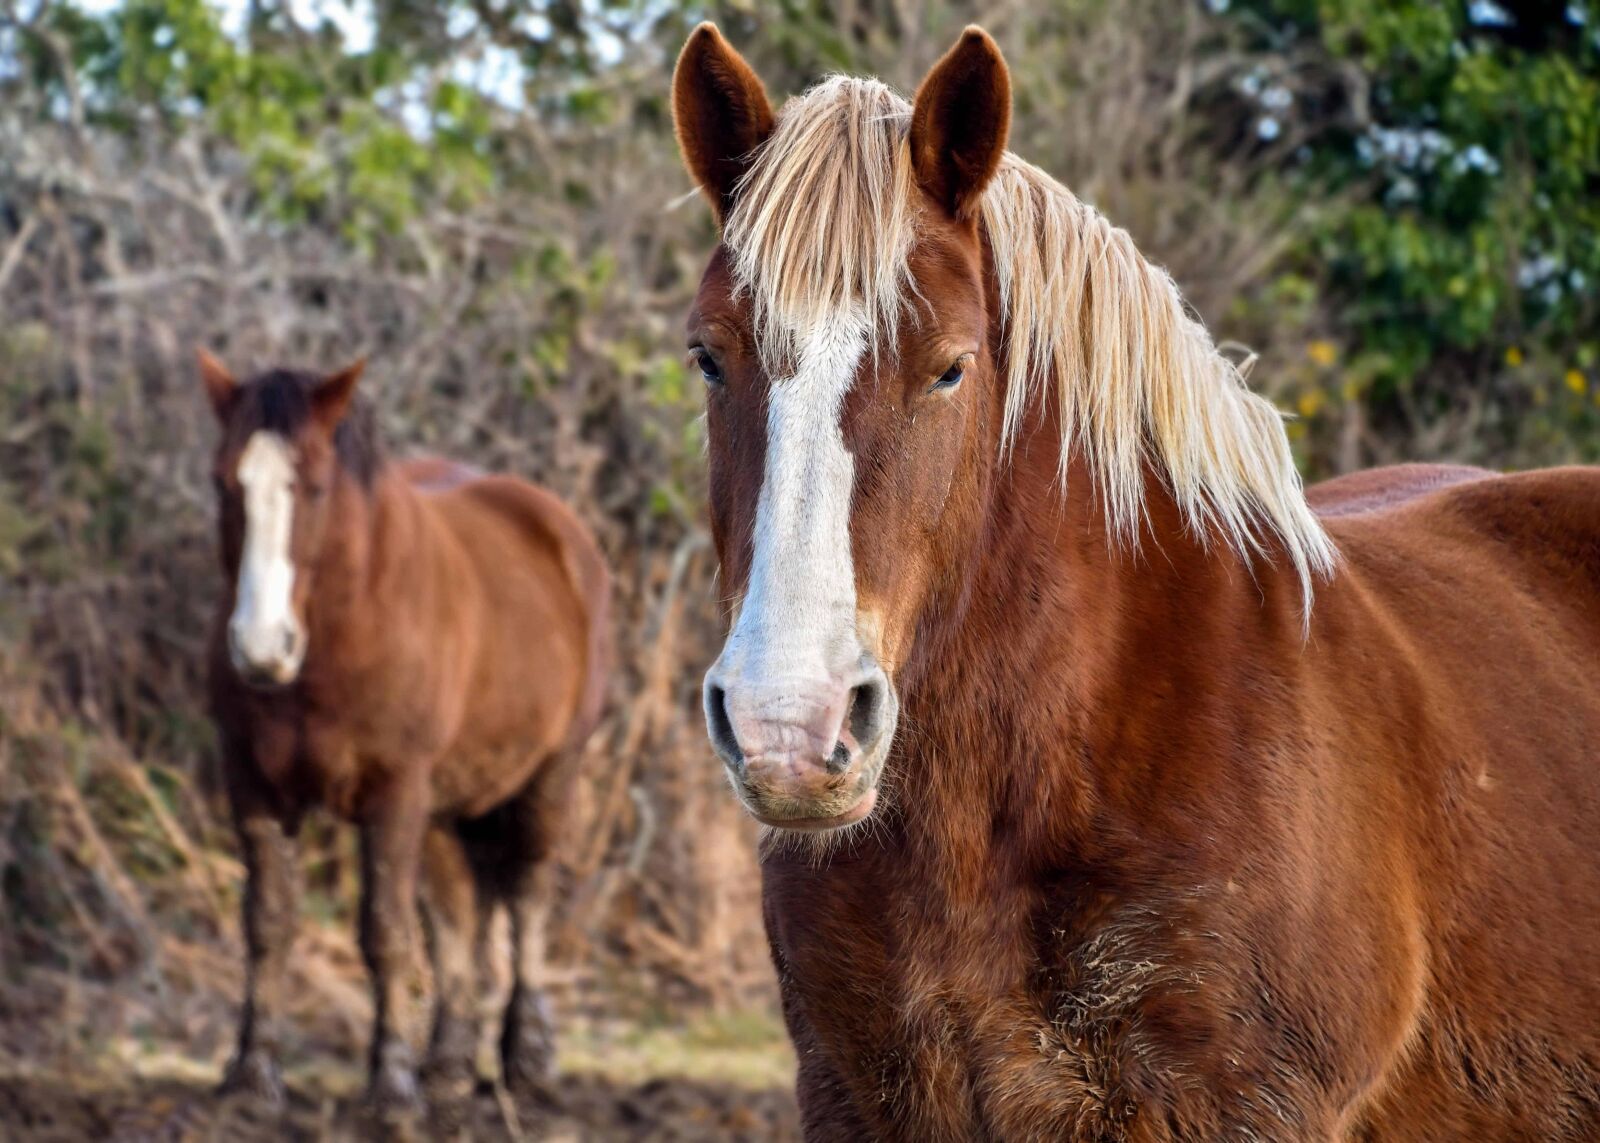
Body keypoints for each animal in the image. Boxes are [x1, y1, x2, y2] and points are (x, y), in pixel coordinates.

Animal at [198, 352, 610, 1112]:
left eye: (315, 486)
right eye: (225, 480)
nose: (262, 648)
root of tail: (558, 527)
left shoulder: (393, 796)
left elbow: (385, 931)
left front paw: (389, 1082)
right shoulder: (253, 787)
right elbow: (268, 922)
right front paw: (252, 1073)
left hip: (550, 777)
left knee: (528, 892)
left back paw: (526, 1057)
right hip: (447, 803)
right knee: (457, 915)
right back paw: (447, 1063)